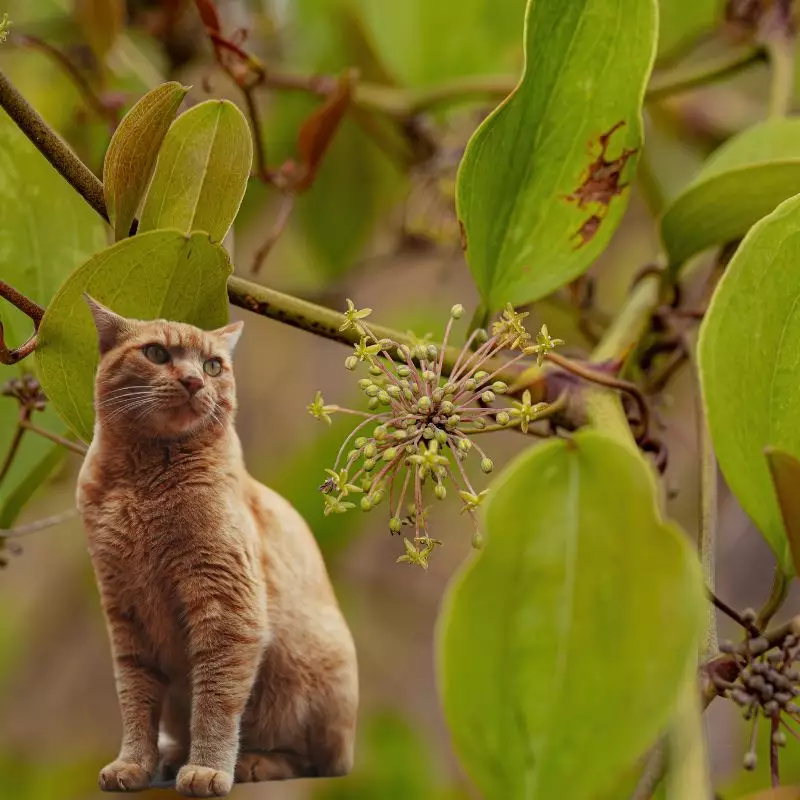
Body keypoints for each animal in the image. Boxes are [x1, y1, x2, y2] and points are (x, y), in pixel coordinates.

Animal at [76, 296, 358, 796]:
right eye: (156, 354)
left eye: (213, 365)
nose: (193, 380)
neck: (140, 483)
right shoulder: (126, 612)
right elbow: (136, 701)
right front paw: (134, 764)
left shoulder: (227, 606)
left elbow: (216, 701)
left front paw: (207, 768)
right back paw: (172, 756)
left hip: (308, 677)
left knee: (315, 761)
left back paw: (251, 763)